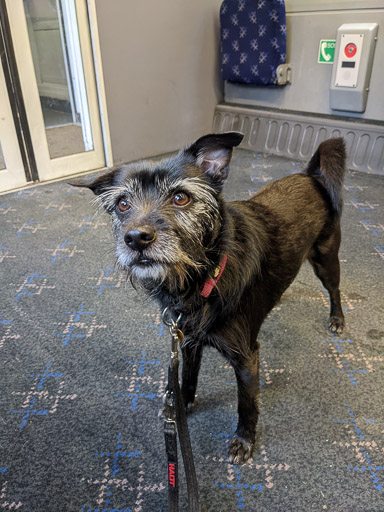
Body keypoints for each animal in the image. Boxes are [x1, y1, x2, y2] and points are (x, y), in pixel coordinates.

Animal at [70, 133, 346, 464]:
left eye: (181, 198)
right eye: (123, 204)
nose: (135, 238)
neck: (200, 280)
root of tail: (310, 175)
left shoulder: (247, 358)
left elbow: (247, 404)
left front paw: (244, 441)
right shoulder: (187, 341)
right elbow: (187, 378)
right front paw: (181, 407)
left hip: (326, 259)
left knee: (334, 290)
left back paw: (337, 318)